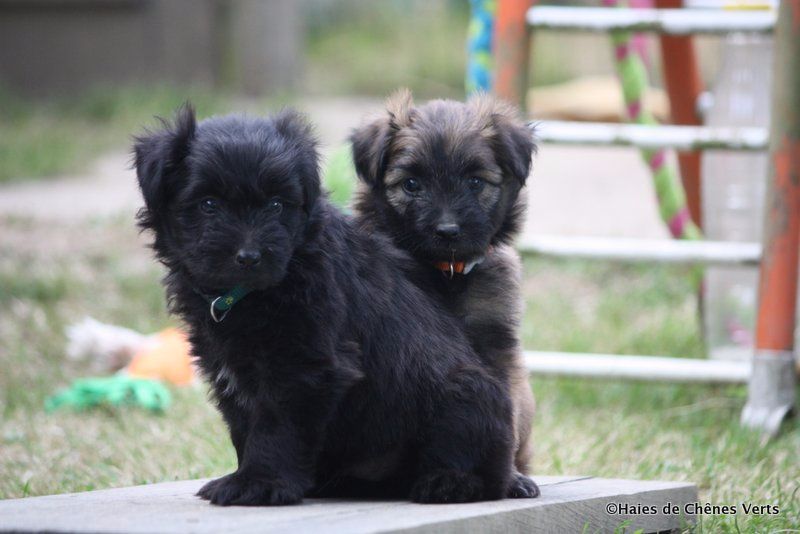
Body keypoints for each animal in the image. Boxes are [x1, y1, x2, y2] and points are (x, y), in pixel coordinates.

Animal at [135, 104, 520, 506]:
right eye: (209, 205)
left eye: (277, 205)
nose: (249, 257)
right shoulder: (228, 367)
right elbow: (243, 426)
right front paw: (249, 476)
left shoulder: (305, 368)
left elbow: (275, 426)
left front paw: (259, 482)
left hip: (466, 394)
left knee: (479, 468)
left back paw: (449, 482)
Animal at [350, 90, 536, 500]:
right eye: (411, 184)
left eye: (475, 182)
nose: (447, 231)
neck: (445, 273)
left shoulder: (497, 349)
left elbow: (504, 420)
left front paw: (508, 479)